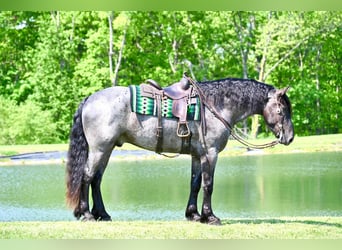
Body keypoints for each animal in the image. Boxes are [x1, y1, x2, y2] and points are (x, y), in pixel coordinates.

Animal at [66, 76, 294, 225]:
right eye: (282, 110)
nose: (290, 137)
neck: (215, 106)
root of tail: (89, 99)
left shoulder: (197, 155)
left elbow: (195, 184)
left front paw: (193, 215)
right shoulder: (211, 154)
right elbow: (208, 185)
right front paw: (210, 217)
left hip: (107, 149)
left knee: (96, 180)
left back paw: (102, 214)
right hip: (99, 149)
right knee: (87, 177)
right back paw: (87, 214)